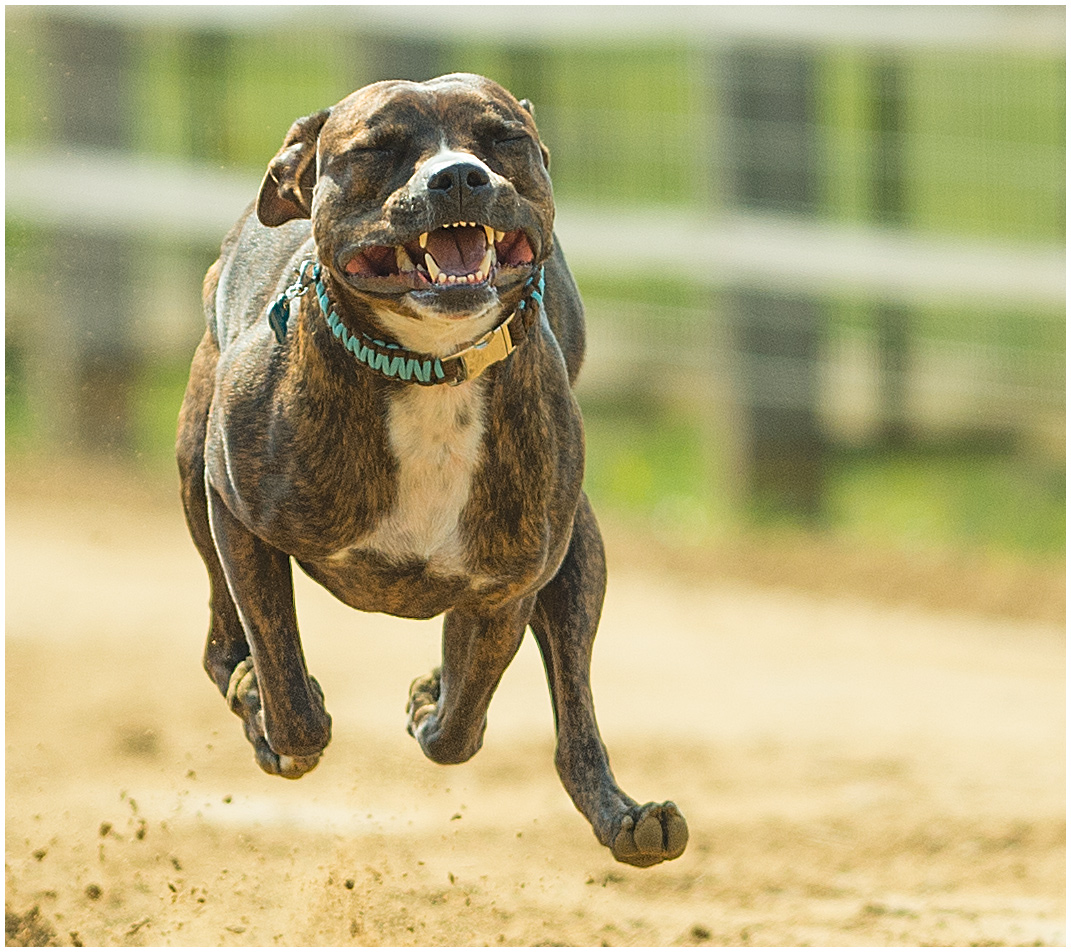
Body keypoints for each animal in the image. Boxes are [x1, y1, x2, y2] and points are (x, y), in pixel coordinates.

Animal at [177, 70, 685, 865]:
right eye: (378, 148)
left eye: (503, 138)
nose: (458, 177)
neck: (430, 370)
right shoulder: (235, 510)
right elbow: (286, 685)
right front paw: (272, 714)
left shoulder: (508, 583)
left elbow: (461, 723)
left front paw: (430, 704)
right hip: (192, 460)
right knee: (221, 639)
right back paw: (246, 688)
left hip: (579, 559)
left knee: (572, 708)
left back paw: (626, 817)